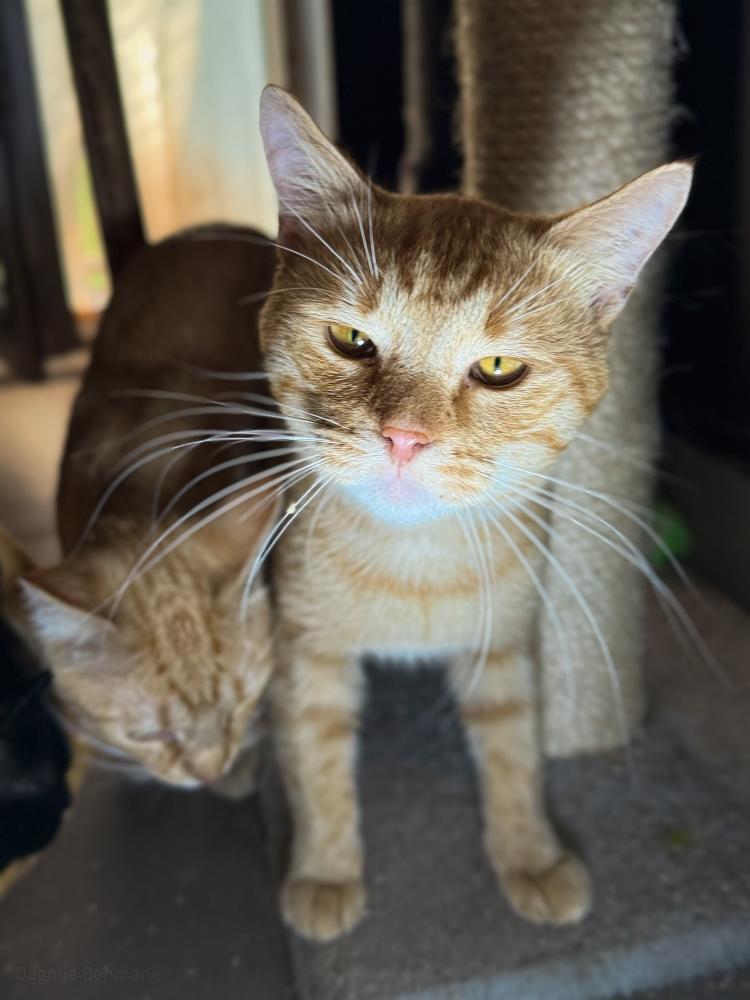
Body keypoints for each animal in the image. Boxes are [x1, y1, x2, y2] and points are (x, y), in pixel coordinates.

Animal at [256, 86, 692, 940]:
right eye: (350, 338)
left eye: (497, 367)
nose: (404, 437)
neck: (414, 570)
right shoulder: (303, 647)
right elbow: (315, 758)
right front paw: (325, 868)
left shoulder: (507, 644)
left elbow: (513, 744)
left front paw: (530, 855)